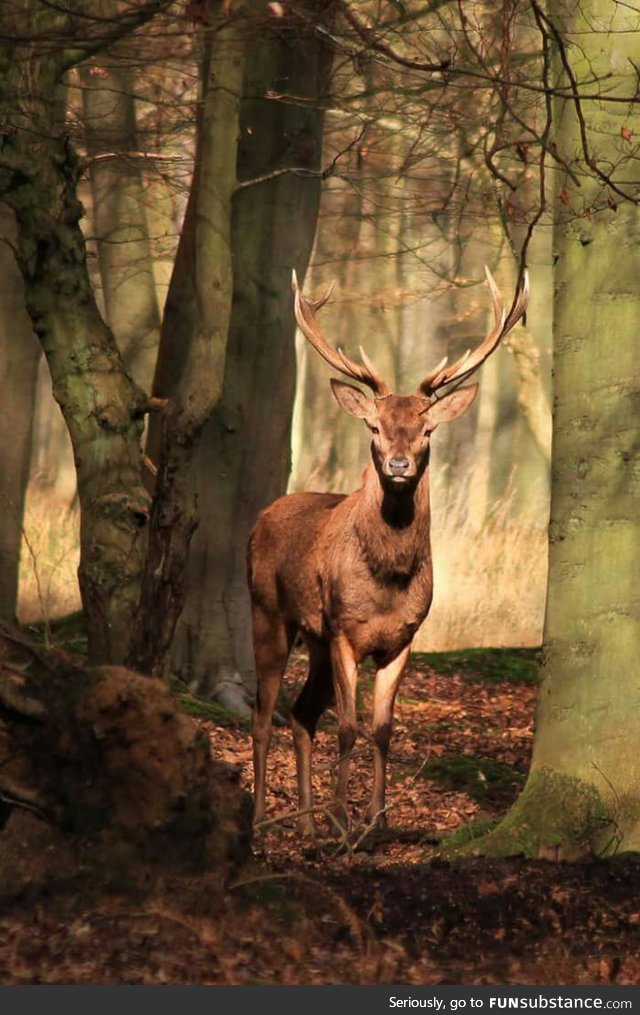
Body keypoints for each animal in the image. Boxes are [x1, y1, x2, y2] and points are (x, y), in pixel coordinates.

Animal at [247, 265, 527, 836]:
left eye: (427, 429)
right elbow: (348, 728)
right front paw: (341, 821)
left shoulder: (403, 637)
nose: (398, 464)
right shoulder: (344, 632)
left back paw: (304, 823)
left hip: (313, 639)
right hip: (268, 612)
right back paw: (264, 819)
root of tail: (261, 518)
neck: (387, 578)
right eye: (374, 426)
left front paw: (376, 821)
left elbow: (382, 729)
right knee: (263, 718)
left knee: (300, 715)